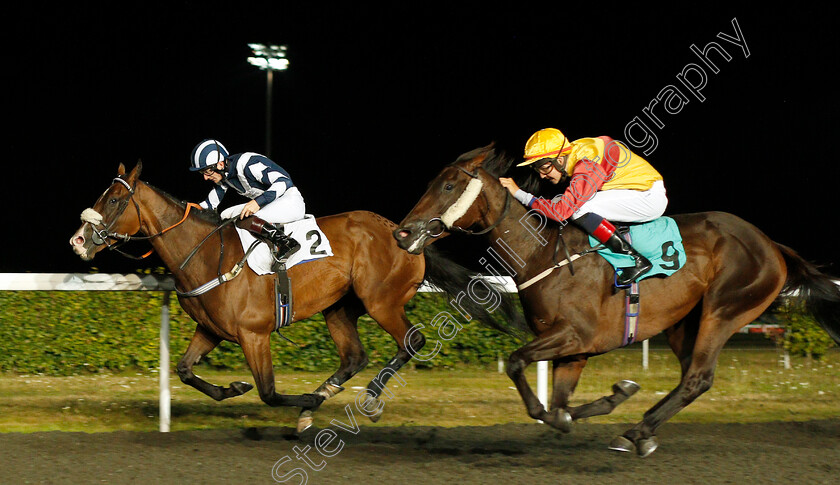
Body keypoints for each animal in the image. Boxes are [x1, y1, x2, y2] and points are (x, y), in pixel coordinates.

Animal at [70, 162, 524, 432]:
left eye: (114, 199)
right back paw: (320, 401)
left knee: (411, 341)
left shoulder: (254, 334)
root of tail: (406, 234)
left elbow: (269, 392)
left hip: (381, 301)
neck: (206, 254)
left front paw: (298, 397)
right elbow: (184, 371)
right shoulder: (211, 329)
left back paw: (363, 400)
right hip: (339, 308)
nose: (78, 240)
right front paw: (234, 389)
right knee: (354, 356)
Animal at [394, 144, 840, 454]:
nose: (403, 232)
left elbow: (521, 366)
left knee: (698, 377)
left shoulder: (575, 335)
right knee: (688, 378)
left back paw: (636, 431)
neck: (544, 252)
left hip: (725, 309)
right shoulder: (573, 350)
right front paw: (612, 396)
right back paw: (641, 430)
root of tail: (773, 246)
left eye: (448, 185)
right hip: (684, 322)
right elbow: (560, 403)